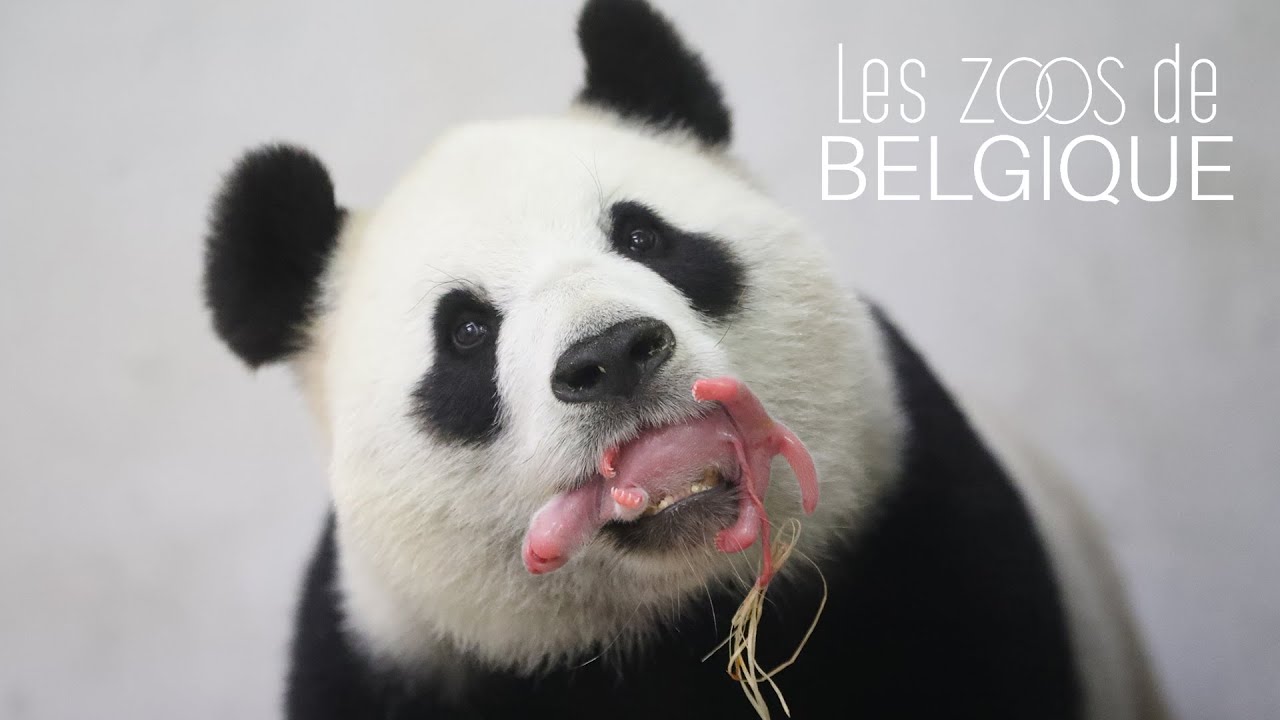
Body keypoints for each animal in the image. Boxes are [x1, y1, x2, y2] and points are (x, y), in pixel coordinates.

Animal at [202, 1, 1167, 718]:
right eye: (466, 332)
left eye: (643, 236)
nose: (612, 356)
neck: (673, 618)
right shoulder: (391, 659)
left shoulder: (925, 537)